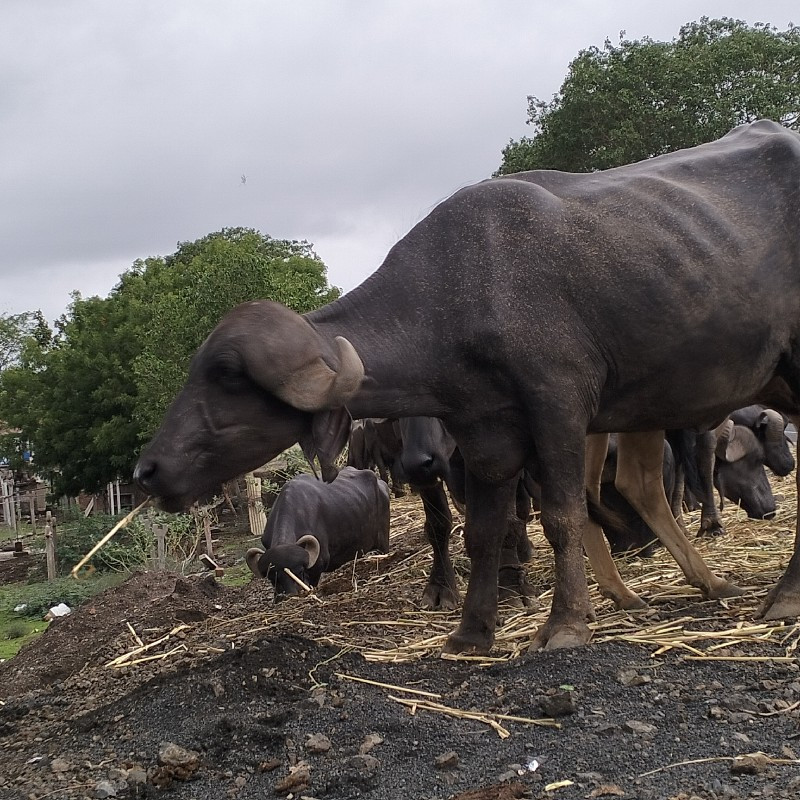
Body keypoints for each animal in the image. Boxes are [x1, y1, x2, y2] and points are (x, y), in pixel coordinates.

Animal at [247, 468, 390, 592]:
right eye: (273, 578)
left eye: (299, 572)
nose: (291, 593)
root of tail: (381, 484)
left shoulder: (317, 568)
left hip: (384, 541)